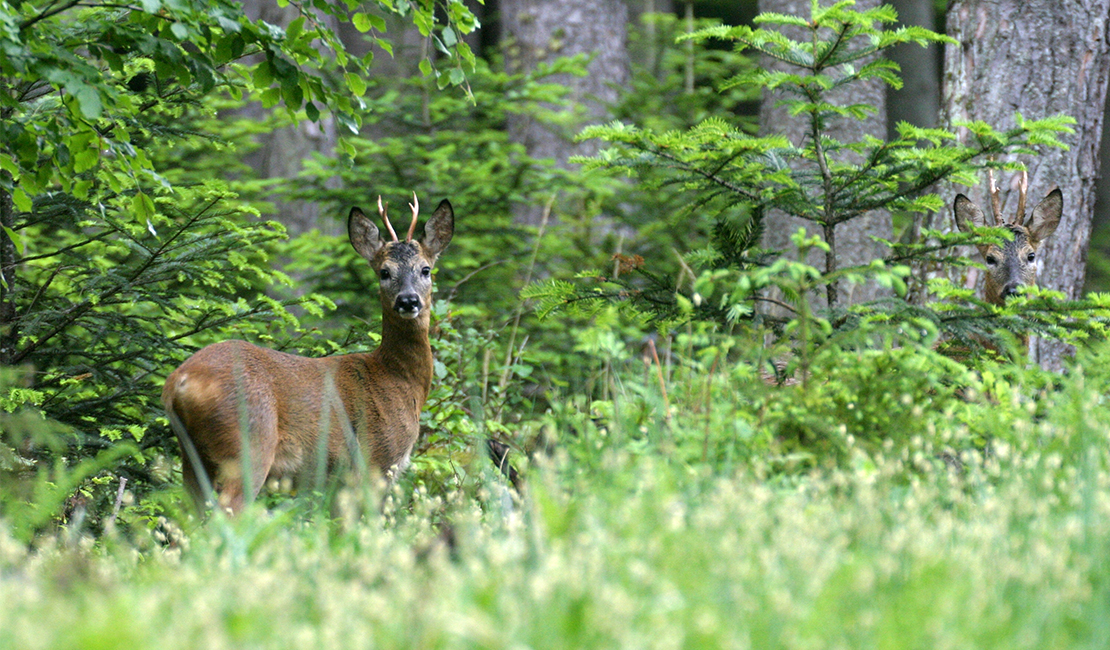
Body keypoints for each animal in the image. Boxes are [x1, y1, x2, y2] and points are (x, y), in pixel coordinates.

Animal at [159, 191, 450, 510]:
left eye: (426, 269)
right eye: (384, 272)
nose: (408, 301)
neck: (398, 379)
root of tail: (179, 383)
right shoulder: (378, 461)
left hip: (193, 457)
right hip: (249, 443)